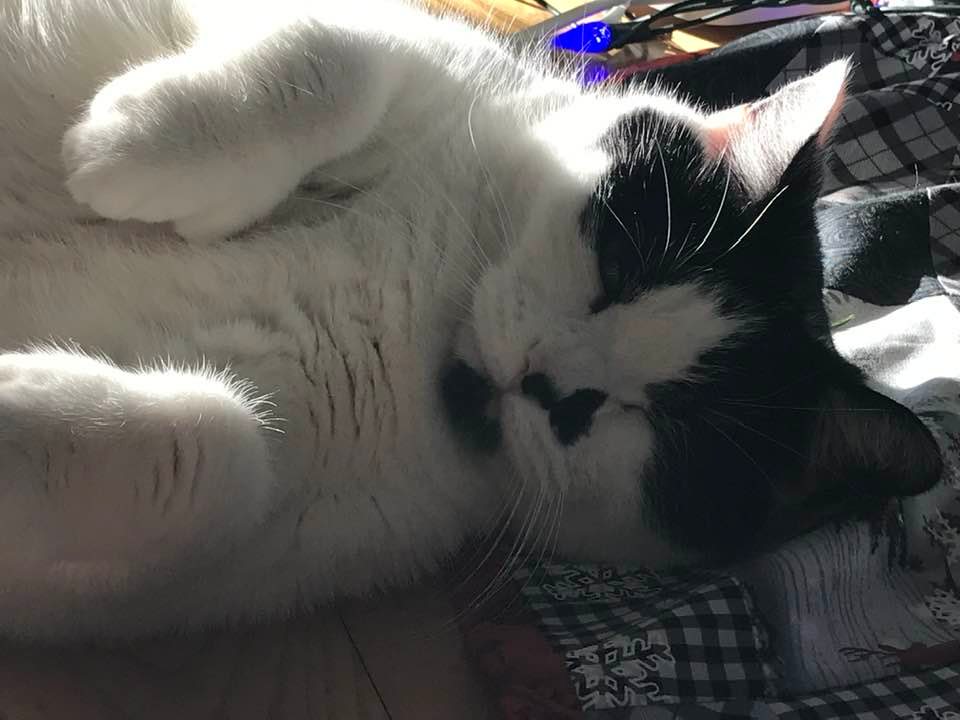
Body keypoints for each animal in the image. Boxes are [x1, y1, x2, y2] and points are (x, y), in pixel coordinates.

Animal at [0, 0, 944, 640]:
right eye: (619, 269)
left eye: (669, 427)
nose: (549, 378)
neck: (430, 301)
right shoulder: (414, 54)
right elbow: (338, 57)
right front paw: (129, 147)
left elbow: (222, 448)